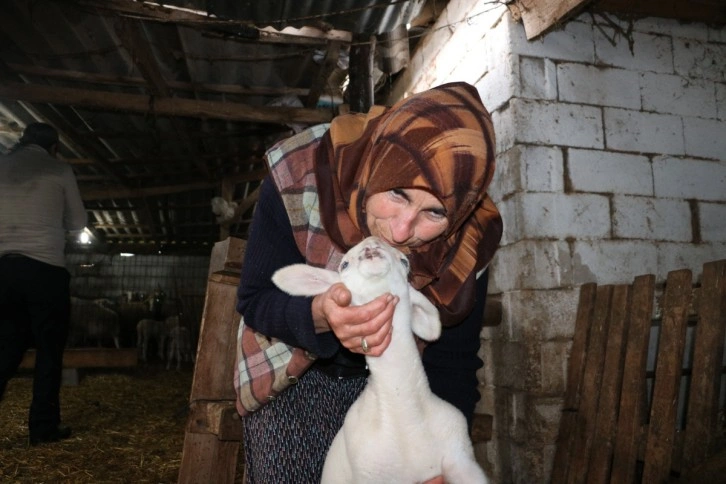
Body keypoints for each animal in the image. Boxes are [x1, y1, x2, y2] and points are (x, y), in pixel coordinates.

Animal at [272, 235, 490, 484]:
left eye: (404, 261)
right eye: (344, 264)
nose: (371, 244)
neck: (405, 418)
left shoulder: (460, 456)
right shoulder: (369, 472)